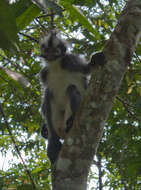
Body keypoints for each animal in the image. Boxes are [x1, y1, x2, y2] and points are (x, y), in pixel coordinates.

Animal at [39, 30, 104, 163]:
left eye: (55, 51)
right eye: (47, 50)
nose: (50, 56)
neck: (56, 65)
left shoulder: (70, 61)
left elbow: (87, 69)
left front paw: (94, 60)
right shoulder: (44, 73)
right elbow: (44, 102)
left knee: (71, 88)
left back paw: (72, 120)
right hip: (57, 123)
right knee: (48, 95)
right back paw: (53, 139)